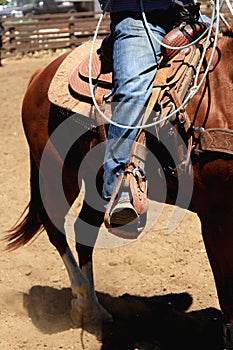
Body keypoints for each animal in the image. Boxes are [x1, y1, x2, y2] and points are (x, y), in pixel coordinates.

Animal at [4, 25, 233, 344]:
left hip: (96, 182)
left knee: (82, 232)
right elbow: (227, 289)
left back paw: (95, 309)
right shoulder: (215, 218)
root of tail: (40, 73)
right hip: (57, 172)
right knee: (55, 227)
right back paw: (82, 304)